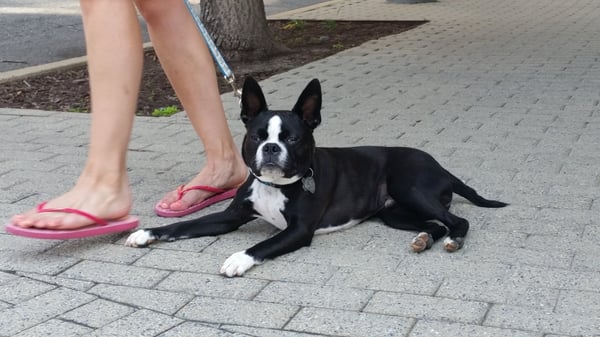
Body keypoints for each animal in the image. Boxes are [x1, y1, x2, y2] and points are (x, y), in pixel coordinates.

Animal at [126, 78, 506, 276]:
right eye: (256, 136)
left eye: (293, 138)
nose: (272, 148)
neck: (275, 186)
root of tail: (441, 167)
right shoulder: (228, 218)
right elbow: (182, 226)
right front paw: (146, 233)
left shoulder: (298, 231)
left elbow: (261, 245)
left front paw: (237, 259)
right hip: (394, 212)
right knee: (435, 224)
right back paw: (424, 238)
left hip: (411, 188)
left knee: (457, 221)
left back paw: (453, 240)